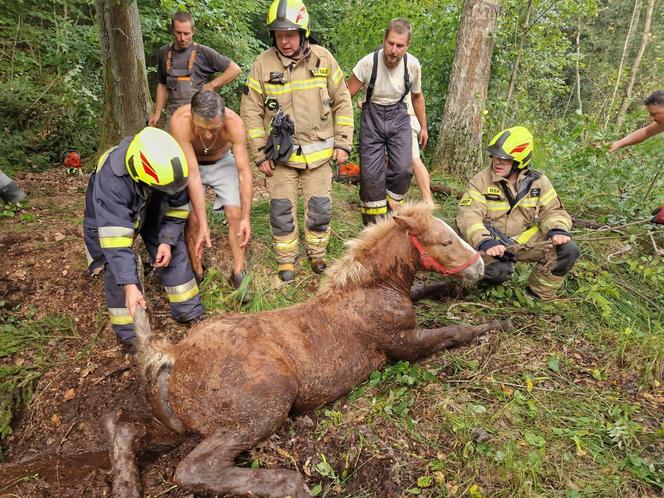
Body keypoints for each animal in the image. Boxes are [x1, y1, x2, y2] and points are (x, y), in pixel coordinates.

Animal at [105, 200, 508, 496]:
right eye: (445, 241)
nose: (480, 268)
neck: (373, 289)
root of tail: (173, 356)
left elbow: (431, 291)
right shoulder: (403, 345)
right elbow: (454, 332)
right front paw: (497, 325)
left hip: (177, 424)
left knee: (125, 429)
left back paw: (126, 487)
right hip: (266, 406)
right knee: (192, 468)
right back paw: (289, 483)